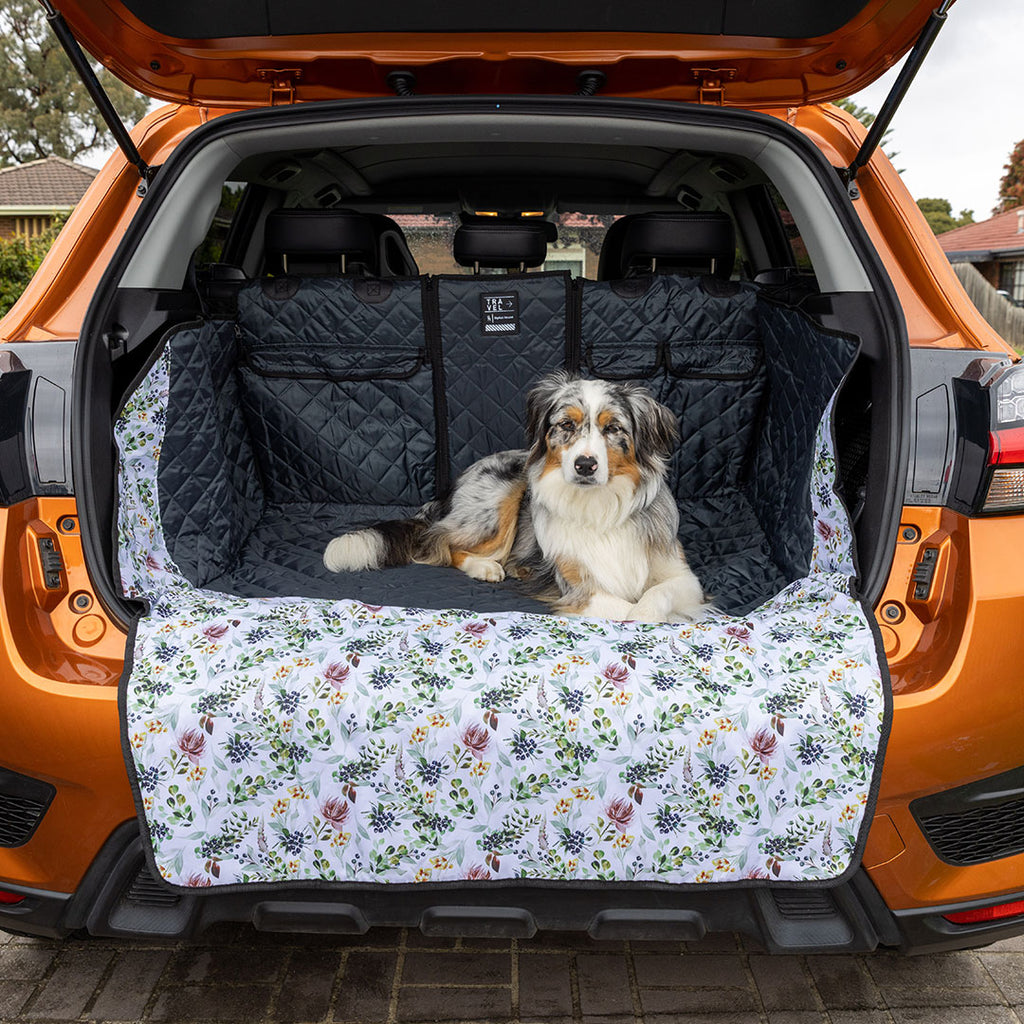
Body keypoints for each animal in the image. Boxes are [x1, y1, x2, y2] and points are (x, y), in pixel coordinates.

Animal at [323, 372, 708, 618]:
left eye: (613, 428)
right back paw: (484, 567)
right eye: (566, 425)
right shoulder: (578, 587)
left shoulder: (683, 576)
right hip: (501, 497)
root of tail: (451, 489)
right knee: (439, 542)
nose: (585, 465)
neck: (598, 504)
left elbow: (656, 598)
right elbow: (627, 612)